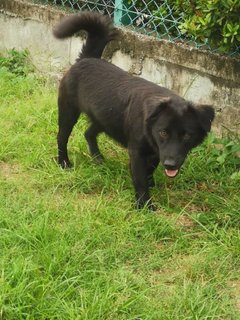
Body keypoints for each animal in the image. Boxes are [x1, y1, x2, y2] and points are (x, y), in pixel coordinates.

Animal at [53, 11, 215, 210]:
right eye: (163, 132)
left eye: (187, 135)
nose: (170, 165)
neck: (149, 125)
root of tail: (86, 58)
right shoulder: (137, 152)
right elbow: (139, 179)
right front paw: (145, 205)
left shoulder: (155, 151)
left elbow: (149, 171)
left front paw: (151, 184)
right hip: (69, 112)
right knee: (62, 137)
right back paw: (64, 162)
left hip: (107, 118)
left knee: (89, 133)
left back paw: (98, 159)